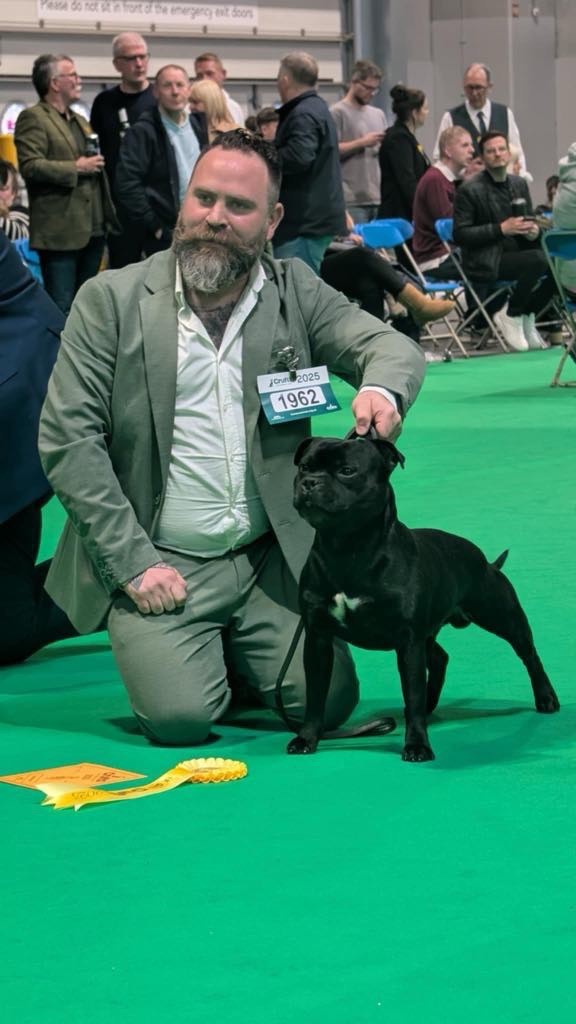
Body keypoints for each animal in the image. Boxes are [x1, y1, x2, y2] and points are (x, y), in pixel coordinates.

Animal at [284, 432, 557, 761]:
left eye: (347, 471)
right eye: (304, 466)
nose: (309, 482)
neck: (347, 547)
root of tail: (484, 560)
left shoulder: (408, 641)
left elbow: (411, 693)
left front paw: (417, 745)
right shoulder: (319, 639)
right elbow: (315, 696)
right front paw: (307, 738)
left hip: (501, 615)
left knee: (529, 654)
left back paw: (546, 698)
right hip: (431, 630)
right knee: (439, 657)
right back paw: (430, 704)